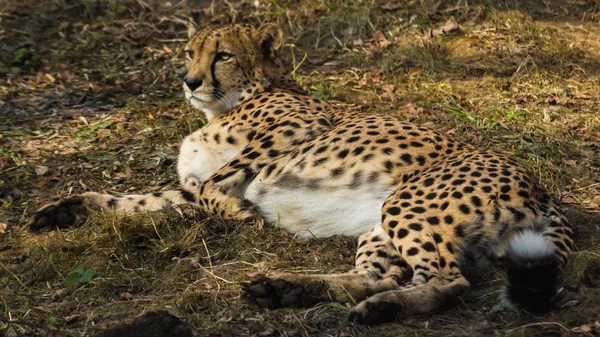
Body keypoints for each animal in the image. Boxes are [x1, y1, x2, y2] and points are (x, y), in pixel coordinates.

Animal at [29, 23, 576, 322]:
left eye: (222, 55)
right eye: (188, 52)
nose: (189, 81)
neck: (228, 101)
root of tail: (541, 187)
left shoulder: (301, 125)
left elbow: (218, 182)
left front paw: (241, 210)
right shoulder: (183, 190)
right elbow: (135, 199)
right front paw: (65, 209)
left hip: (407, 202)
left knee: (449, 280)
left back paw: (378, 309)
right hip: (380, 226)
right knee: (381, 275)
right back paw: (290, 289)